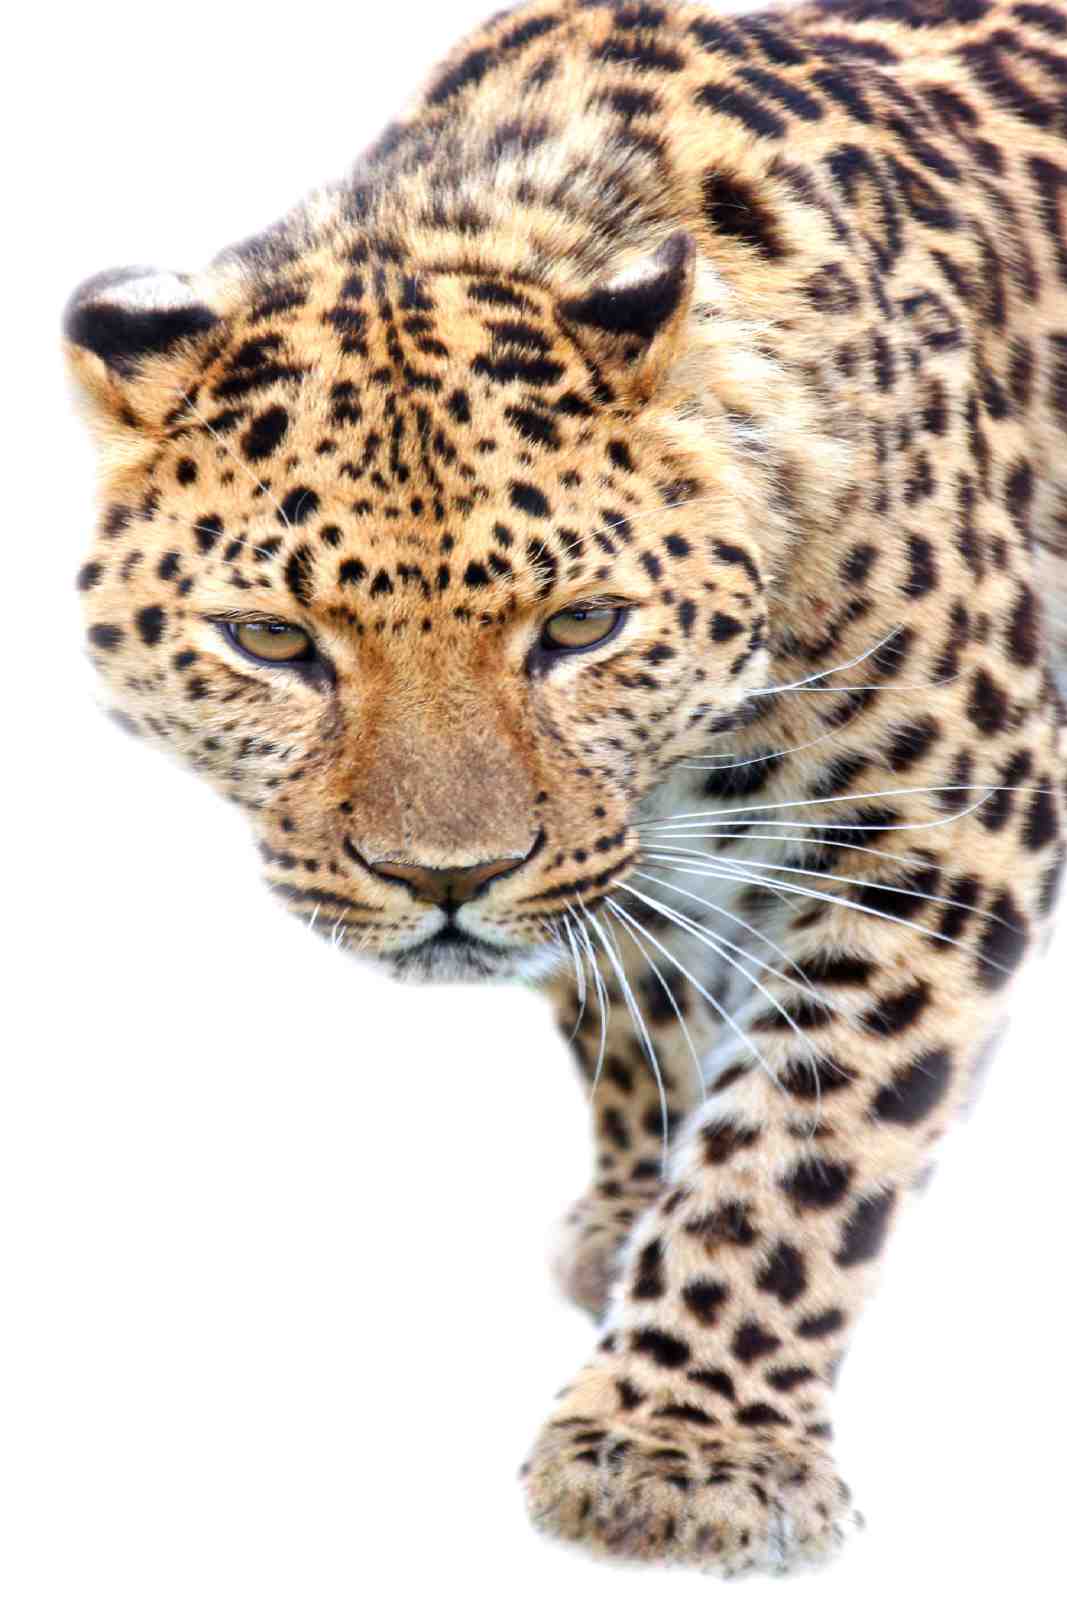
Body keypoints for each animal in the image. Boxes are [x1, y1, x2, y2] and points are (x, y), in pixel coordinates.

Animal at [63, 0, 1067, 1579]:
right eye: (274, 643)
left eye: (581, 627)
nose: (445, 878)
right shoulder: (626, 871)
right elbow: (638, 1023)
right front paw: (627, 1224)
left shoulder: (939, 819)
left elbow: (803, 1138)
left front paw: (680, 1449)